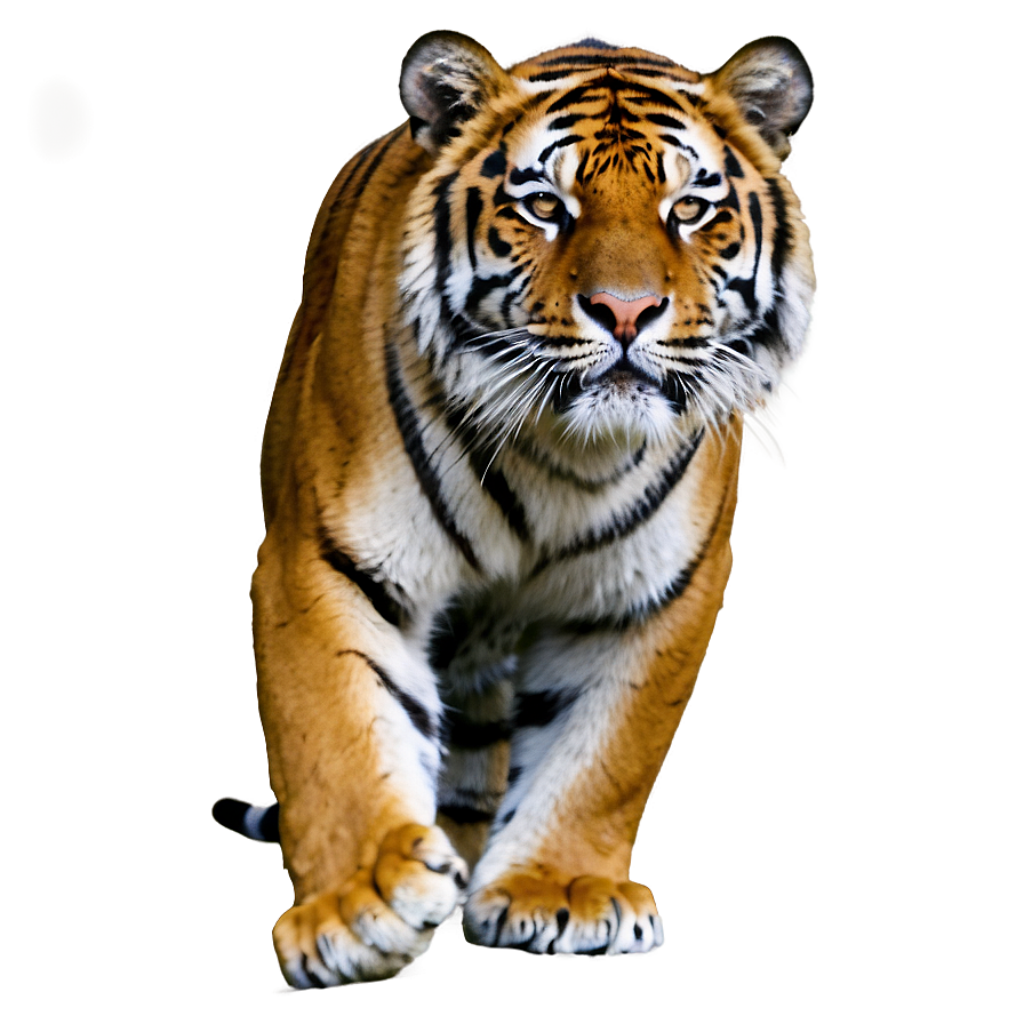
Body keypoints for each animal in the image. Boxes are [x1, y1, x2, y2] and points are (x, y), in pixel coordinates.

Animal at [228, 29, 816, 987]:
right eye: (545, 205)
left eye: (690, 208)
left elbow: (601, 755)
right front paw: (357, 907)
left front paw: (562, 890)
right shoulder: (321, 557)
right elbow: (336, 728)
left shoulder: (652, 595)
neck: (563, 457)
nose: (625, 310)